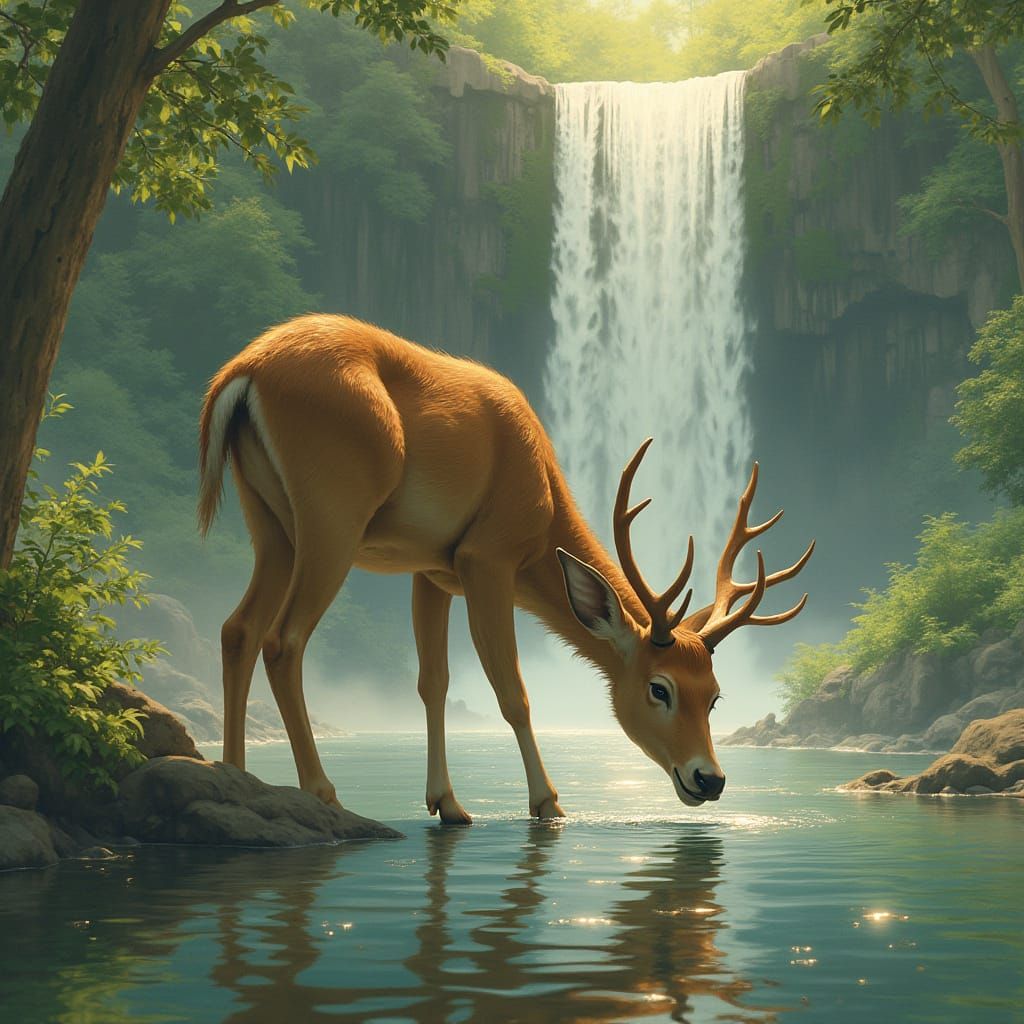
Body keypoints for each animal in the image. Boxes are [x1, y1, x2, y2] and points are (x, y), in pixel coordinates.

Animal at [198, 314, 814, 823]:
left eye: (714, 695)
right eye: (659, 688)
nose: (709, 779)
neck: (542, 508)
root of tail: (242, 372)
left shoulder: (432, 571)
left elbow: (434, 681)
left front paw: (448, 804)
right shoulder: (486, 556)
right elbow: (512, 690)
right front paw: (548, 803)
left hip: (268, 522)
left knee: (237, 628)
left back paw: (235, 774)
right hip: (333, 512)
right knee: (284, 639)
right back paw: (323, 792)